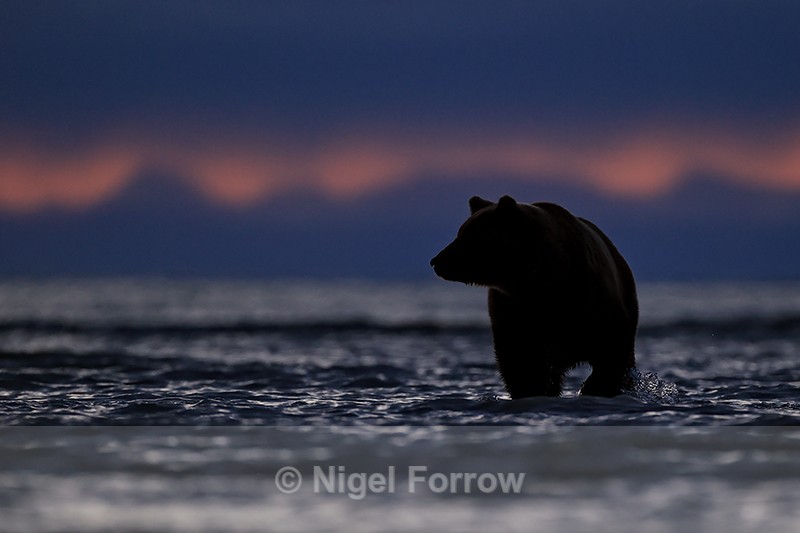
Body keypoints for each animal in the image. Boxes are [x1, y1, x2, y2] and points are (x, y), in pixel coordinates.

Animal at [430, 195, 638, 398]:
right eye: (460, 232)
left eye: (468, 235)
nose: (436, 260)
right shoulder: (514, 308)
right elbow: (520, 360)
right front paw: (530, 389)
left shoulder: (587, 298)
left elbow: (610, 348)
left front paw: (595, 387)